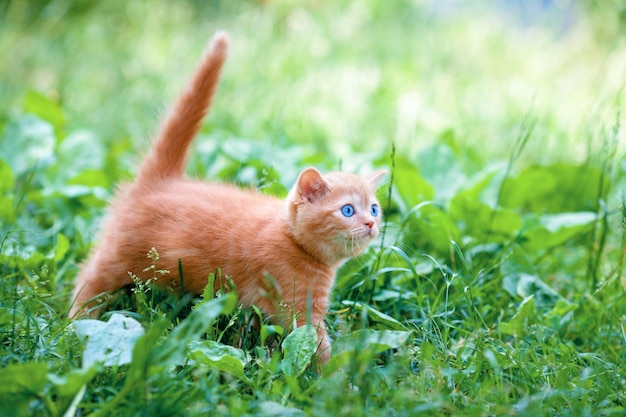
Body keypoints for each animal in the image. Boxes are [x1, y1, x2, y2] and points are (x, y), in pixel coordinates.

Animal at [67, 32, 380, 362]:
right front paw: (334, 374)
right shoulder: (295, 305)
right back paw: (78, 320)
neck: (292, 240)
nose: (372, 224)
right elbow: (314, 345)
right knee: (89, 278)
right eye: (348, 210)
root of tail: (160, 180)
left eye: (374, 209)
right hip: (120, 255)